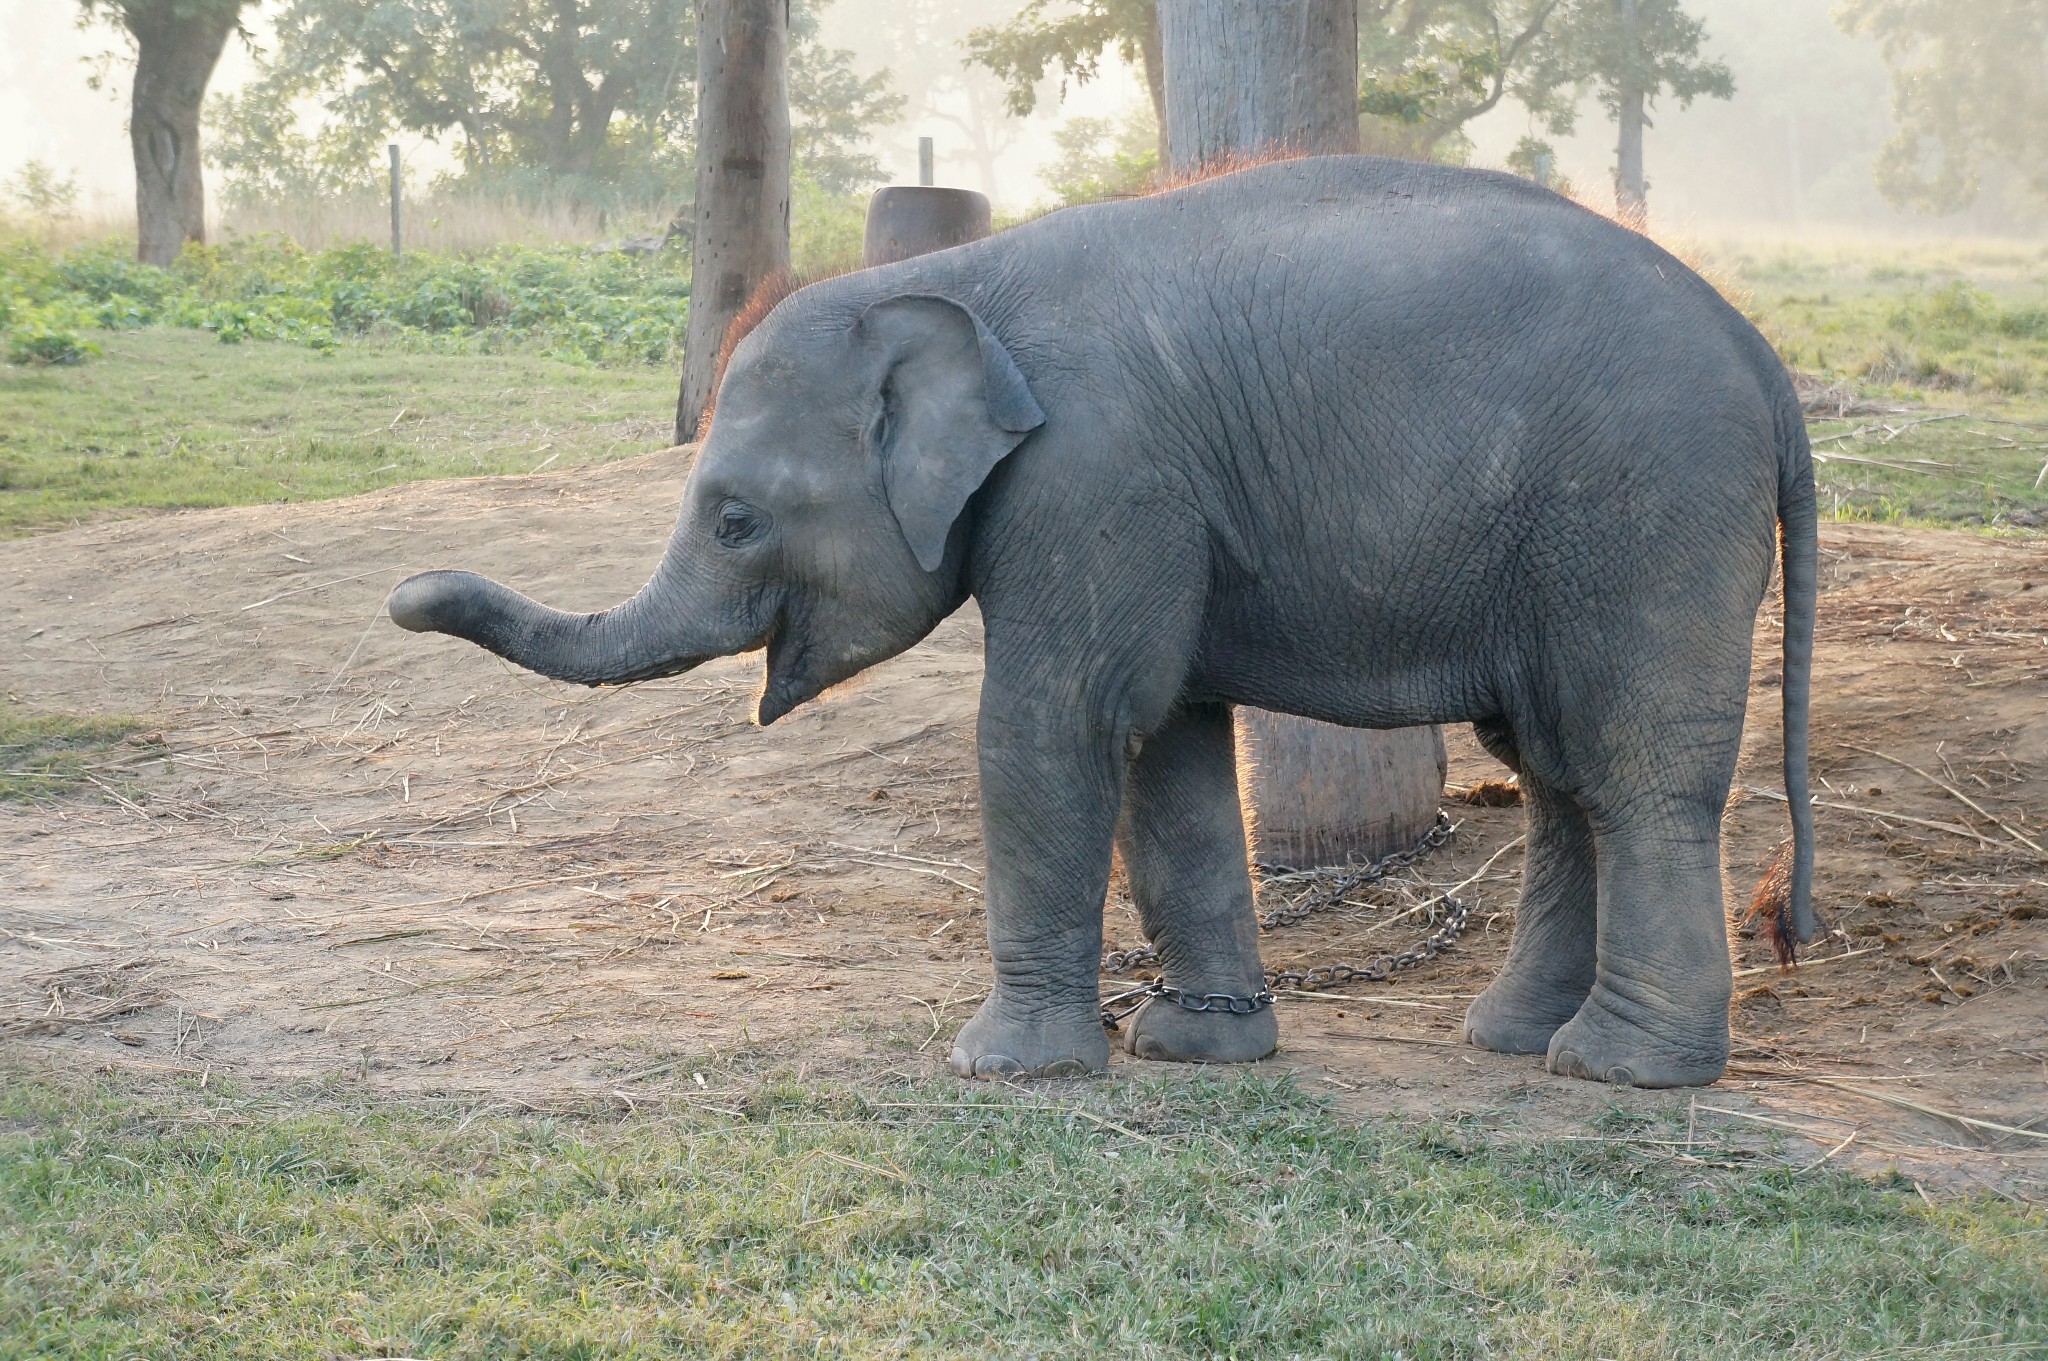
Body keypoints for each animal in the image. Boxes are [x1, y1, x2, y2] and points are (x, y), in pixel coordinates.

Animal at [387, 156, 1826, 1096]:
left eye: (736, 518)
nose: (403, 595)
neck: (950, 279)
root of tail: (1761, 353)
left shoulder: (1095, 476)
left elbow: (1057, 726)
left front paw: (1004, 1068)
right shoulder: (1148, 507)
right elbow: (1167, 744)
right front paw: (1196, 1050)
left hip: (1644, 516)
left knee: (1632, 767)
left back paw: (1625, 1071)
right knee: (1553, 769)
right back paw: (1514, 1039)